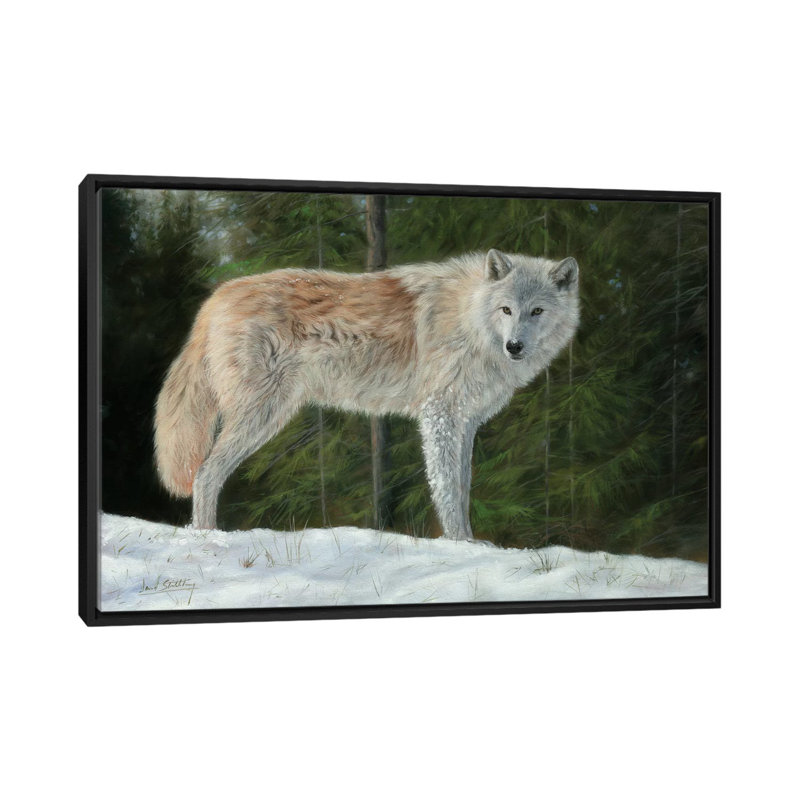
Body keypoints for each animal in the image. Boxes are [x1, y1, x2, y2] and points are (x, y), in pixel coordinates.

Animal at [154, 249, 579, 539]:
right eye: (506, 309)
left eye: (537, 311)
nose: (515, 347)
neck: (470, 318)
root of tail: (217, 297)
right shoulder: (439, 414)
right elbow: (446, 489)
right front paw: (461, 543)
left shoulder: (467, 421)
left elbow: (462, 488)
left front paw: (473, 544)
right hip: (262, 415)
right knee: (206, 474)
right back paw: (208, 539)